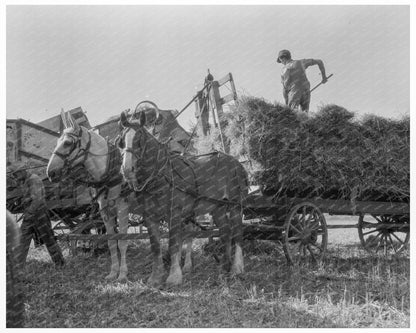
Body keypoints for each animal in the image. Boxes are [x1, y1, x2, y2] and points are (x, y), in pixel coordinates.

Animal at [118, 109, 247, 286]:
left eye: (140, 138)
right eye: (122, 140)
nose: (126, 170)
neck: (162, 175)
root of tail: (236, 162)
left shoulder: (174, 213)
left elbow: (173, 244)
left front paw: (174, 276)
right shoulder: (149, 216)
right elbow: (155, 247)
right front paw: (155, 277)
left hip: (235, 205)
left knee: (237, 233)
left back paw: (237, 268)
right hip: (217, 207)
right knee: (226, 232)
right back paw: (223, 269)